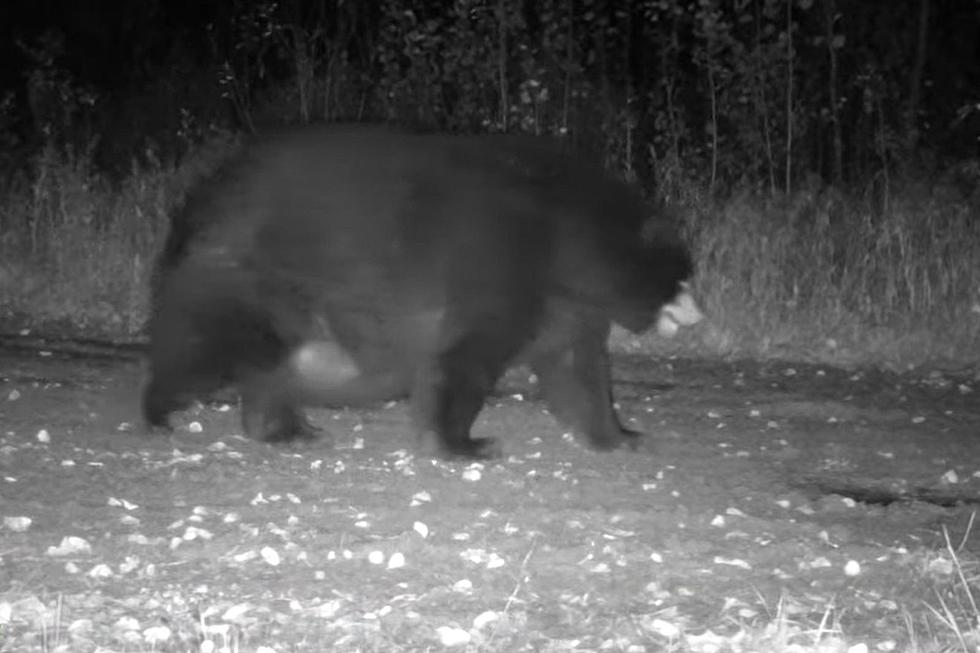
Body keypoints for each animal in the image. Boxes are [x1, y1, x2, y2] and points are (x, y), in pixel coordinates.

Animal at [142, 125, 700, 456]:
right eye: (686, 275)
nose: (699, 316)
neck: (571, 244)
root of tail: (194, 202)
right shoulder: (503, 263)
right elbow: (469, 353)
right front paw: (463, 443)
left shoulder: (566, 307)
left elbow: (577, 371)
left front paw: (621, 434)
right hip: (245, 278)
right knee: (206, 346)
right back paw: (160, 411)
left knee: (267, 365)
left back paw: (286, 429)